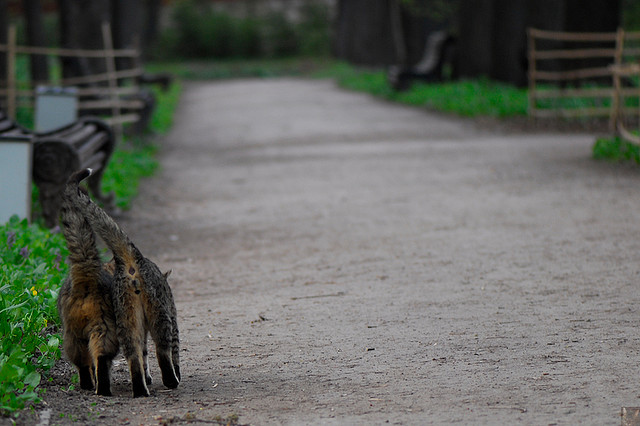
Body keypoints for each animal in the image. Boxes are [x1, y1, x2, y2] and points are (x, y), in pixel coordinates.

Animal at [57, 169, 119, 396]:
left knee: (82, 359)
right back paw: (101, 386)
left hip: (72, 332)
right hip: (104, 325)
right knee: (100, 356)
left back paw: (88, 384)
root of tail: (86, 274)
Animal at [70, 168, 180, 398]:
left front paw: (148, 376)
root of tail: (131, 260)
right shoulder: (172, 316)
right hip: (159, 314)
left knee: (134, 356)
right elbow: (174, 352)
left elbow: (144, 354)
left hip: (126, 318)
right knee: (162, 350)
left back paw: (140, 389)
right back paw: (171, 381)